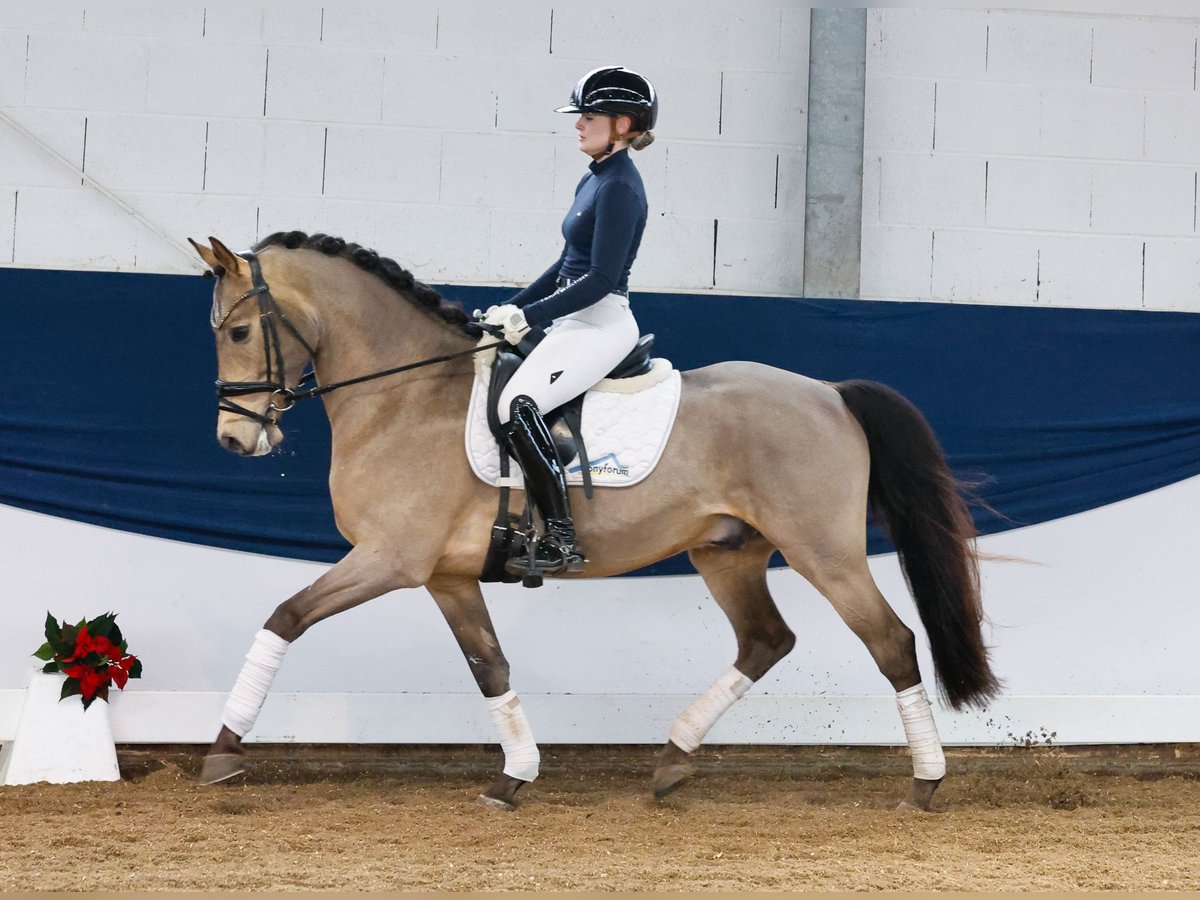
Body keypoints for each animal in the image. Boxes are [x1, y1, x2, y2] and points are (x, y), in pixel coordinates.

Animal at [189, 230, 993, 811]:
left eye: (237, 333)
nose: (233, 439)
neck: (406, 396)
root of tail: (829, 392)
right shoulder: (447, 576)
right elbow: (490, 667)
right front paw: (513, 776)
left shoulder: (390, 559)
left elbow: (285, 616)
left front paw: (223, 750)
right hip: (727, 553)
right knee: (766, 640)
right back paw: (673, 760)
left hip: (824, 552)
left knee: (890, 642)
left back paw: (925, 784)